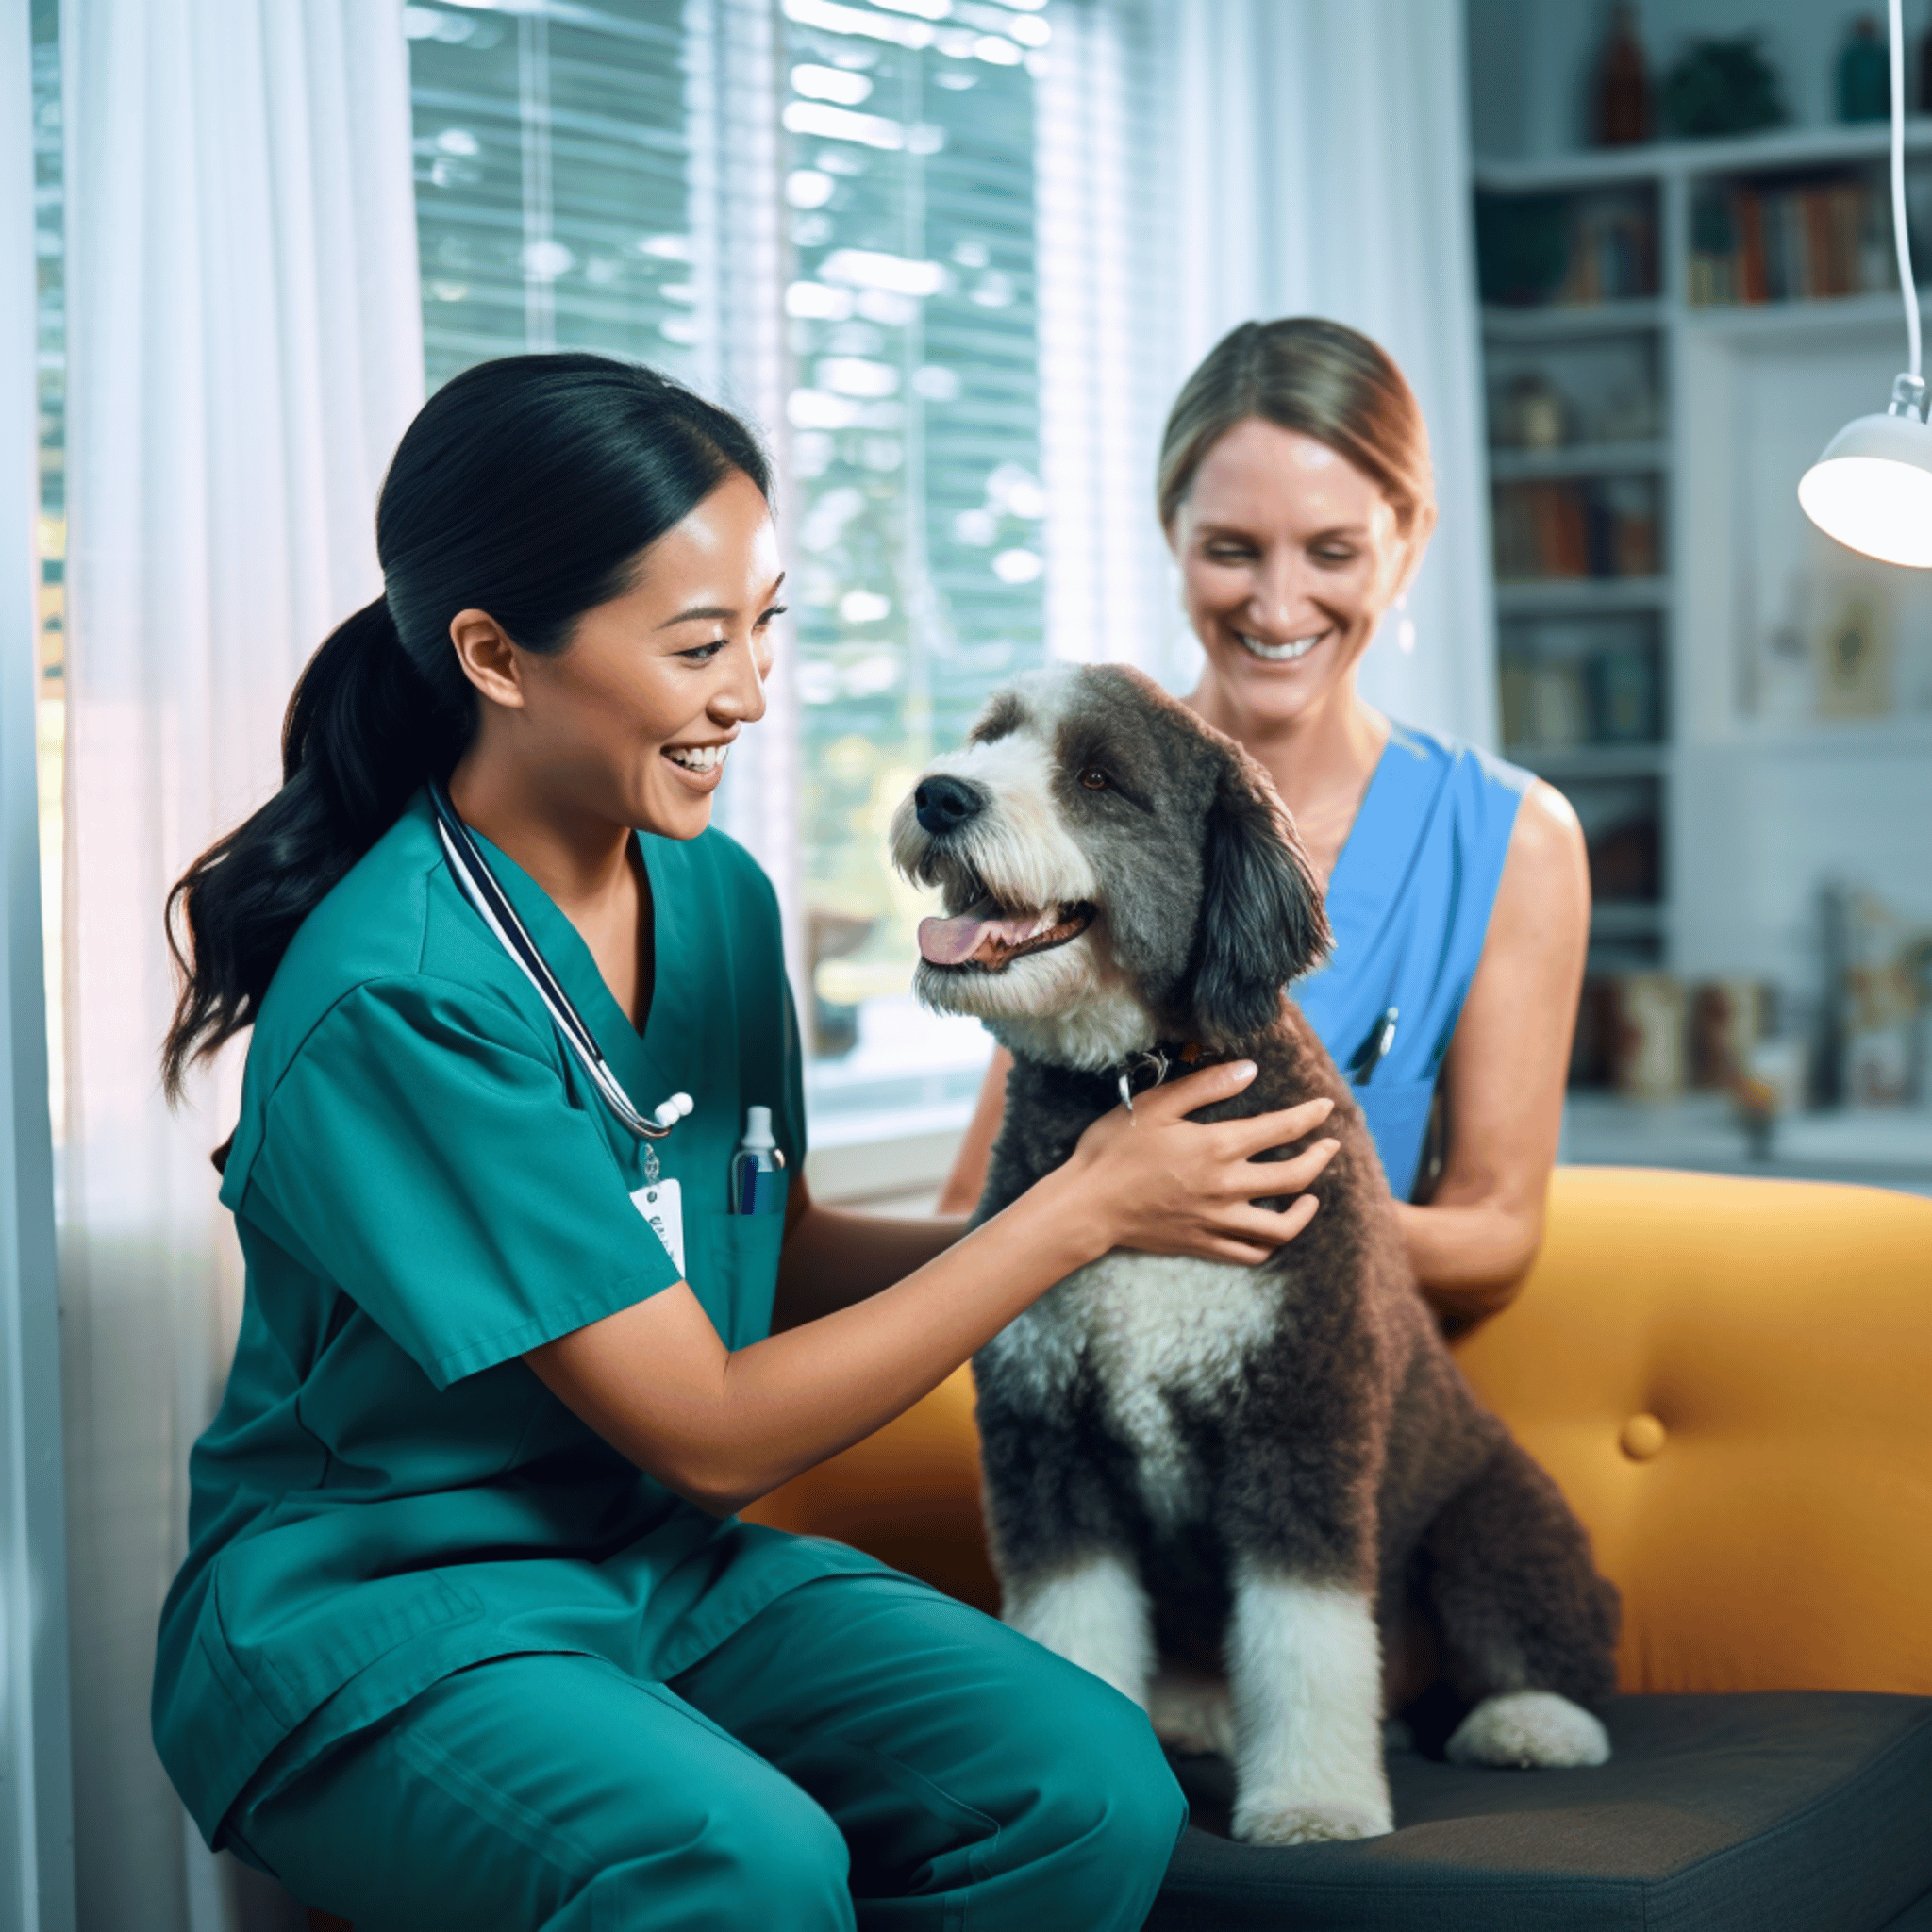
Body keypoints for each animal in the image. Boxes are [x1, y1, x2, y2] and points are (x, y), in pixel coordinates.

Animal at [896, 660, 1623, 1839]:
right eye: (988, 736)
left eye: (1096, 777)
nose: (940, 795)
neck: (1134, 1080)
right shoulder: (1046, 1441)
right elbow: (1073, 1618)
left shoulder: (1297, 1418)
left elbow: (1305, 1633)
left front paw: (1314, 1801)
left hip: (1488, 1520)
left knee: (1544, 1638)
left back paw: (1530, 1721)